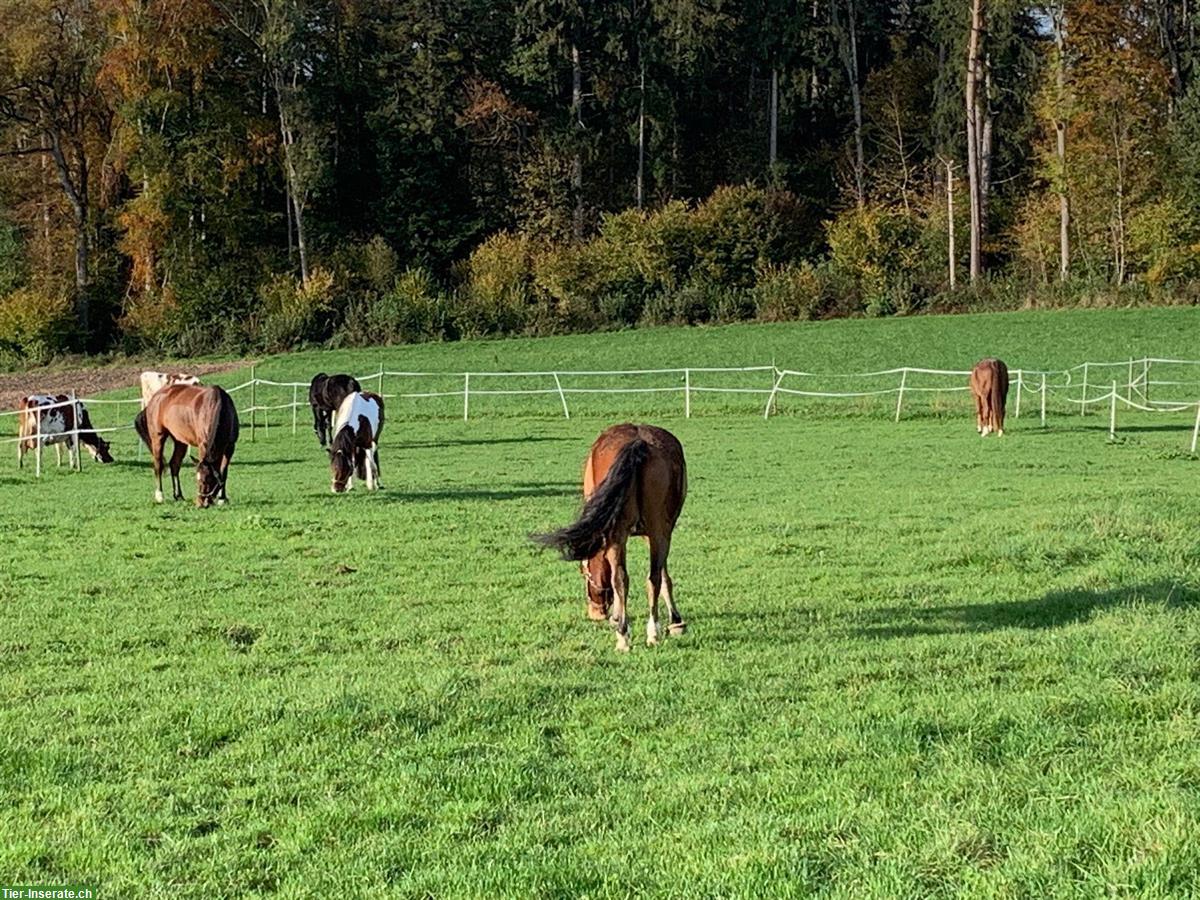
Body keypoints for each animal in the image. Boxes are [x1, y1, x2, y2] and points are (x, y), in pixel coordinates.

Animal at [532, 427, 686, 652]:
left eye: (584, 573)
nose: (595, 613)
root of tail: (639, 442)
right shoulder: (658, 533)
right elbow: (661, 574)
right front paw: (674, 620)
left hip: (626, 531)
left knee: (626, 578)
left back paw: (626, 634)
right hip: (645, 530)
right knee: (641, 578)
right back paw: (648, 633)